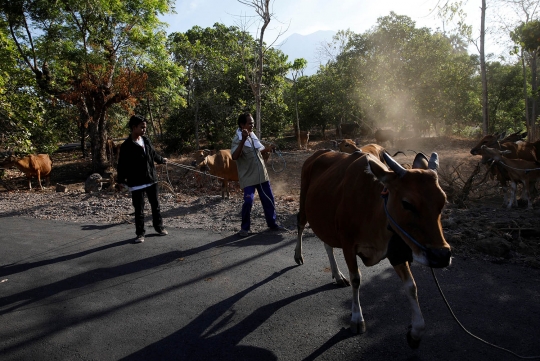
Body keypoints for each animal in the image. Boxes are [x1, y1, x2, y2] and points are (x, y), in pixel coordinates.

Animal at [294, 149, 450, 346]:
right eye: (407, 203)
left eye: (443, 201)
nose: (441, 255)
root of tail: (318, 154)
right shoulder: (348, 243)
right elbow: (356, 279)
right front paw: (356, 319)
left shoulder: (395, 250)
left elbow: (411, 286)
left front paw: (415, 331)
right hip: (304, 204)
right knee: (300, 224)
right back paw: (298, 255)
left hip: (325, 222)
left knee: (327, 244)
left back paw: (337, 275)